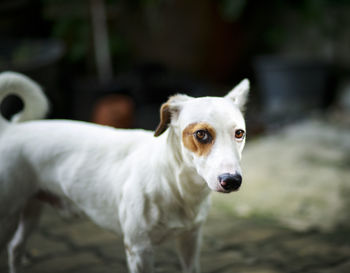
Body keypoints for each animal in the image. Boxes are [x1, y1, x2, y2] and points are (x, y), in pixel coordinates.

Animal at [0, 71, 249, 270]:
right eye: (201, 134)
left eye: (239, 133)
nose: (231, 180)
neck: (174, 184)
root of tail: (10, 129)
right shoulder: (139, 250)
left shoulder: (190, 240)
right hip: (7, 215)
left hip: (31, 208)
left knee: (15, 247)